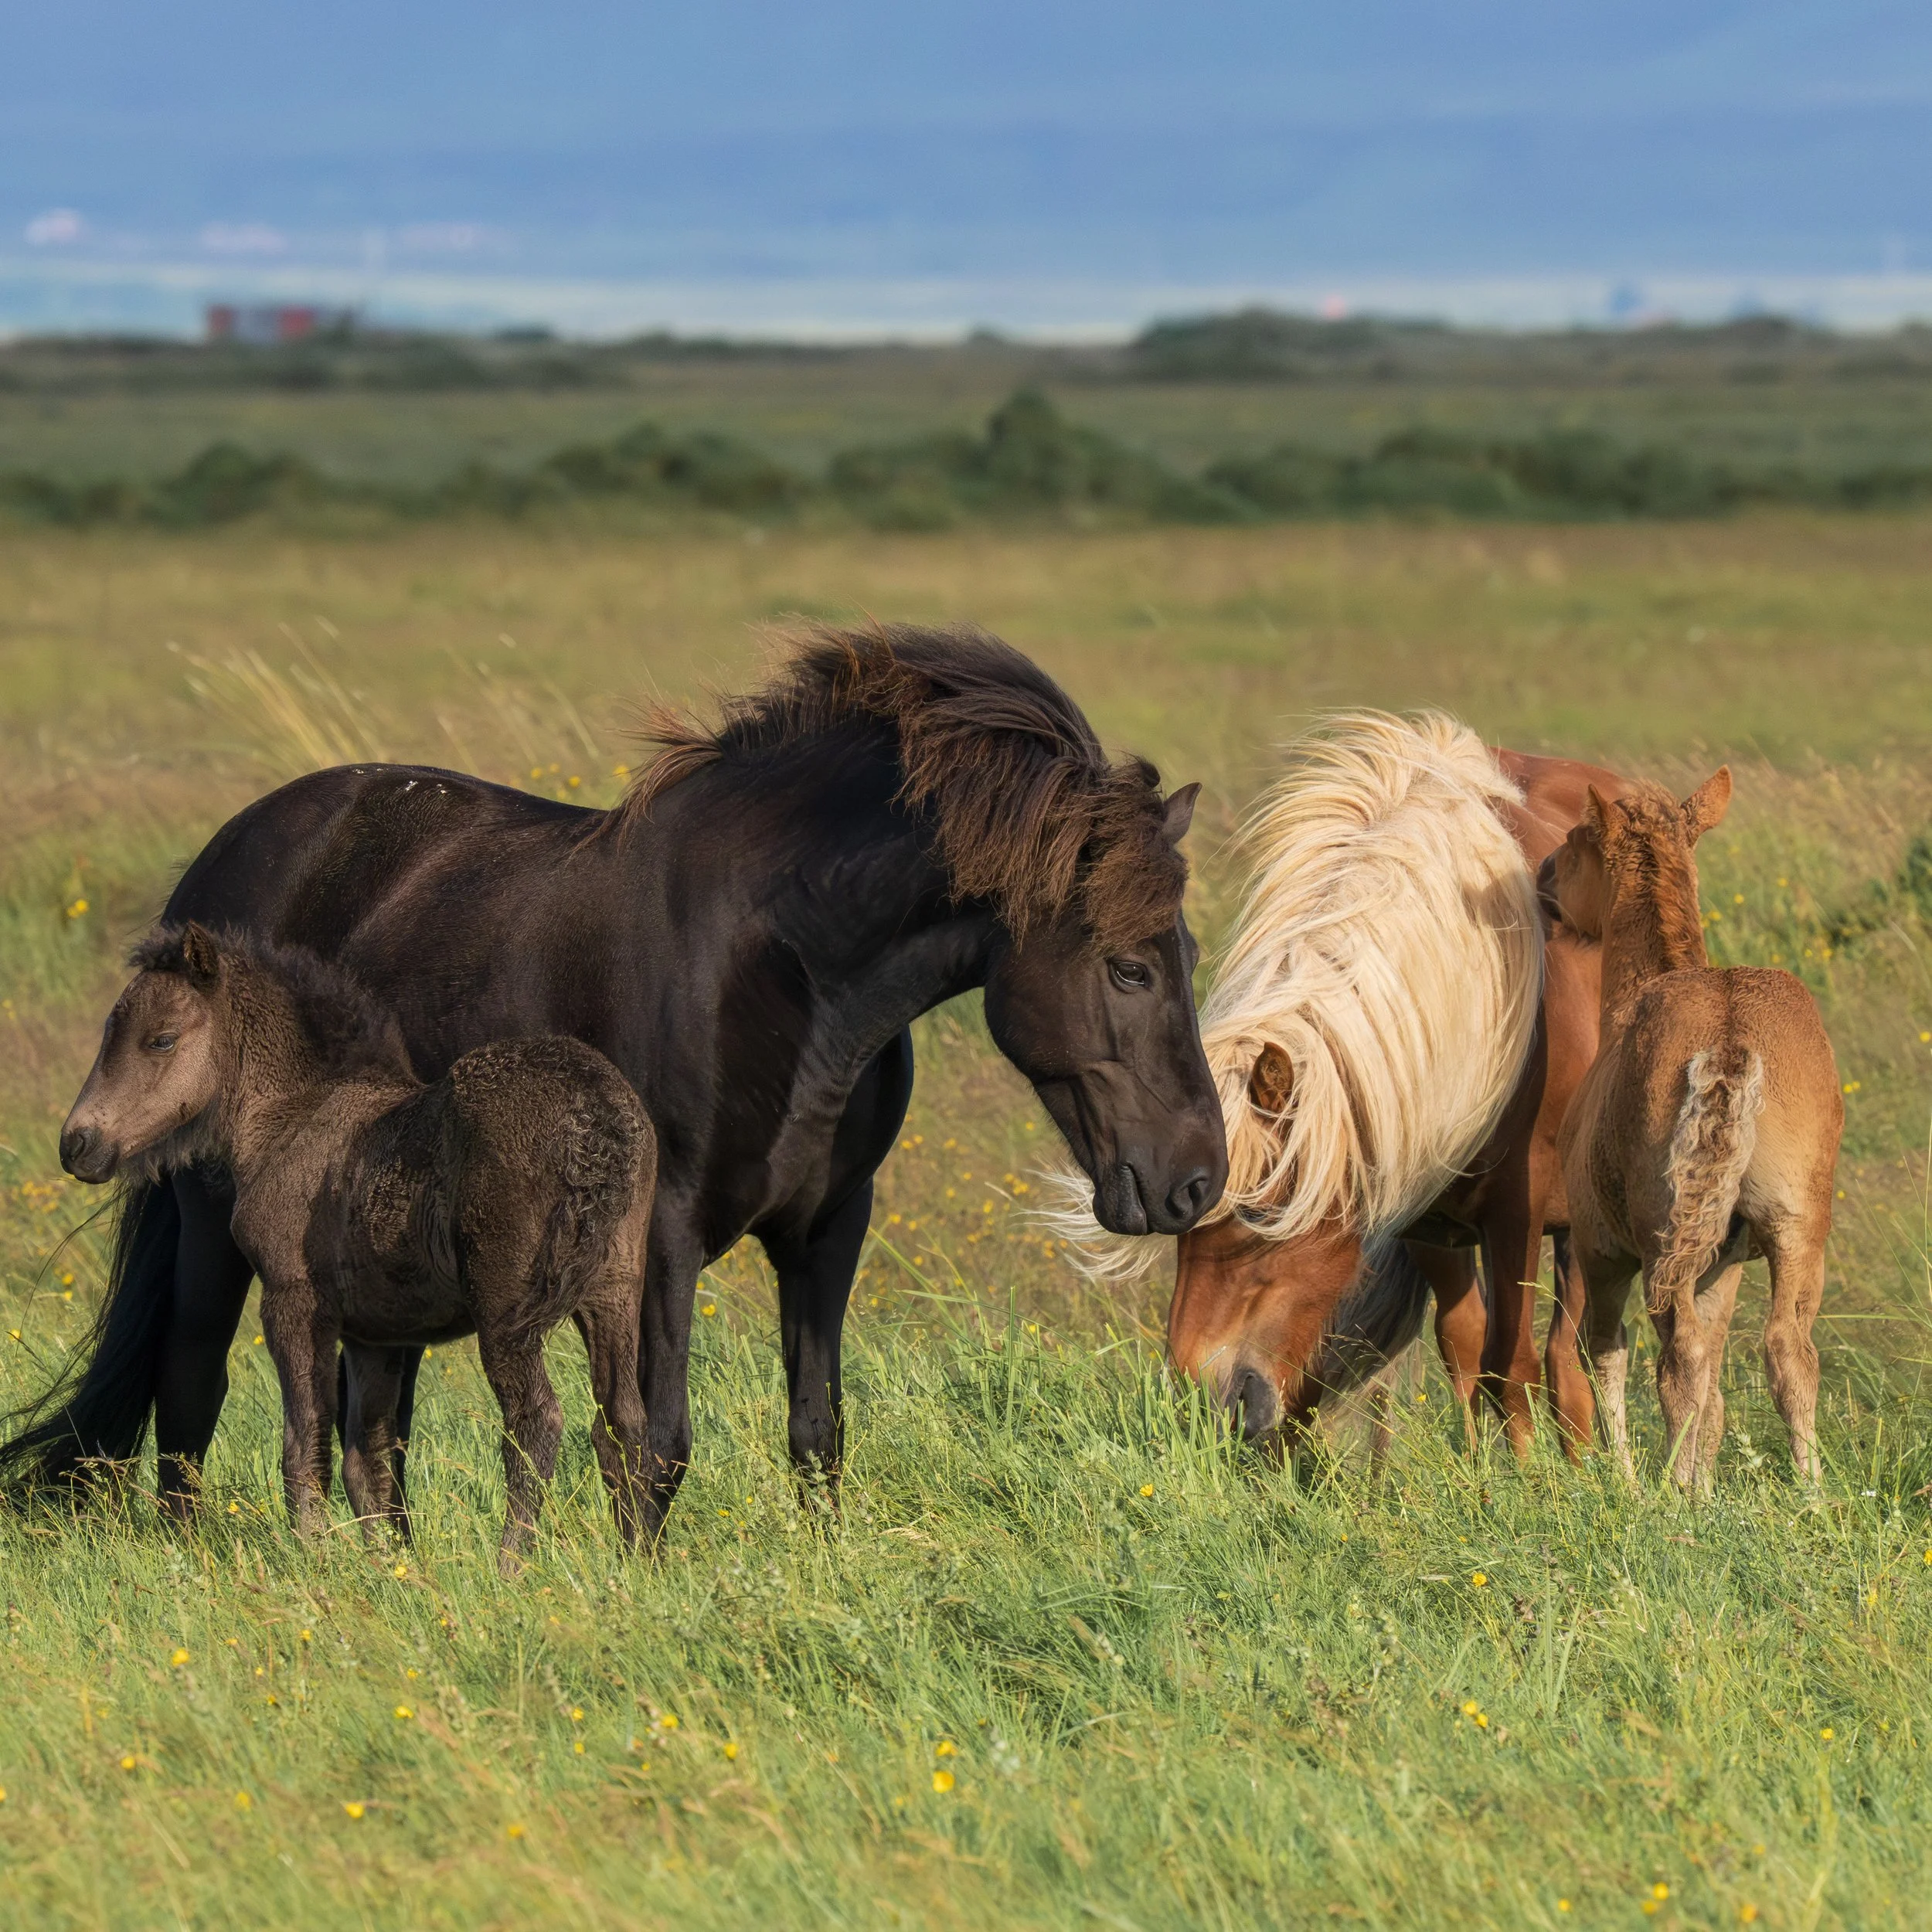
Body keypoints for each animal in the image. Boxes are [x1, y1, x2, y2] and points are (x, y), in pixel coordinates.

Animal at [60, 925, 656, 1563]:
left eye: (161, 1040)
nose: (77, 1144)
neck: (291, 1118)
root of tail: (597, 1117)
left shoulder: (292, 1302)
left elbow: (305, 1445)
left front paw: (312, 1558)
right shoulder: (376, 1335)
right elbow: (367, 1459)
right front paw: (389, 1566)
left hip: (506, 1308)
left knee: (537, 1421)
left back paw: (510, 1565)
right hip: (615, 1291)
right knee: (623, 1421)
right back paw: (640, 1561)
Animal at [1150, 714, 1630, 1455]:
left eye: (1261, 1214)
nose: (1213, 1402)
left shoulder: (1516, 1219)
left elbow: (1514, 1363)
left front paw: (1534, 1480)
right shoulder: (1428, 1221)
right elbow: (1466, 1351)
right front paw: (1480, 1475)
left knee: (1564, 1358)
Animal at [1553, 773, 1840, 1487]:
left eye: (1573, 842)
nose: (1545, 882)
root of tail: (1730, 1039)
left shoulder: (1601, 1249)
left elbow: (1605, 1353)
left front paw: (1630, 1483)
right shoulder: (1724, 1258)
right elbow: (1714, 1378)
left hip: (1662, 1239)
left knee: (1674, 1355)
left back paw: (1676, 1489)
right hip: (1796, 1225)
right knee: (1788, 1350)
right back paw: (1812, 1494)